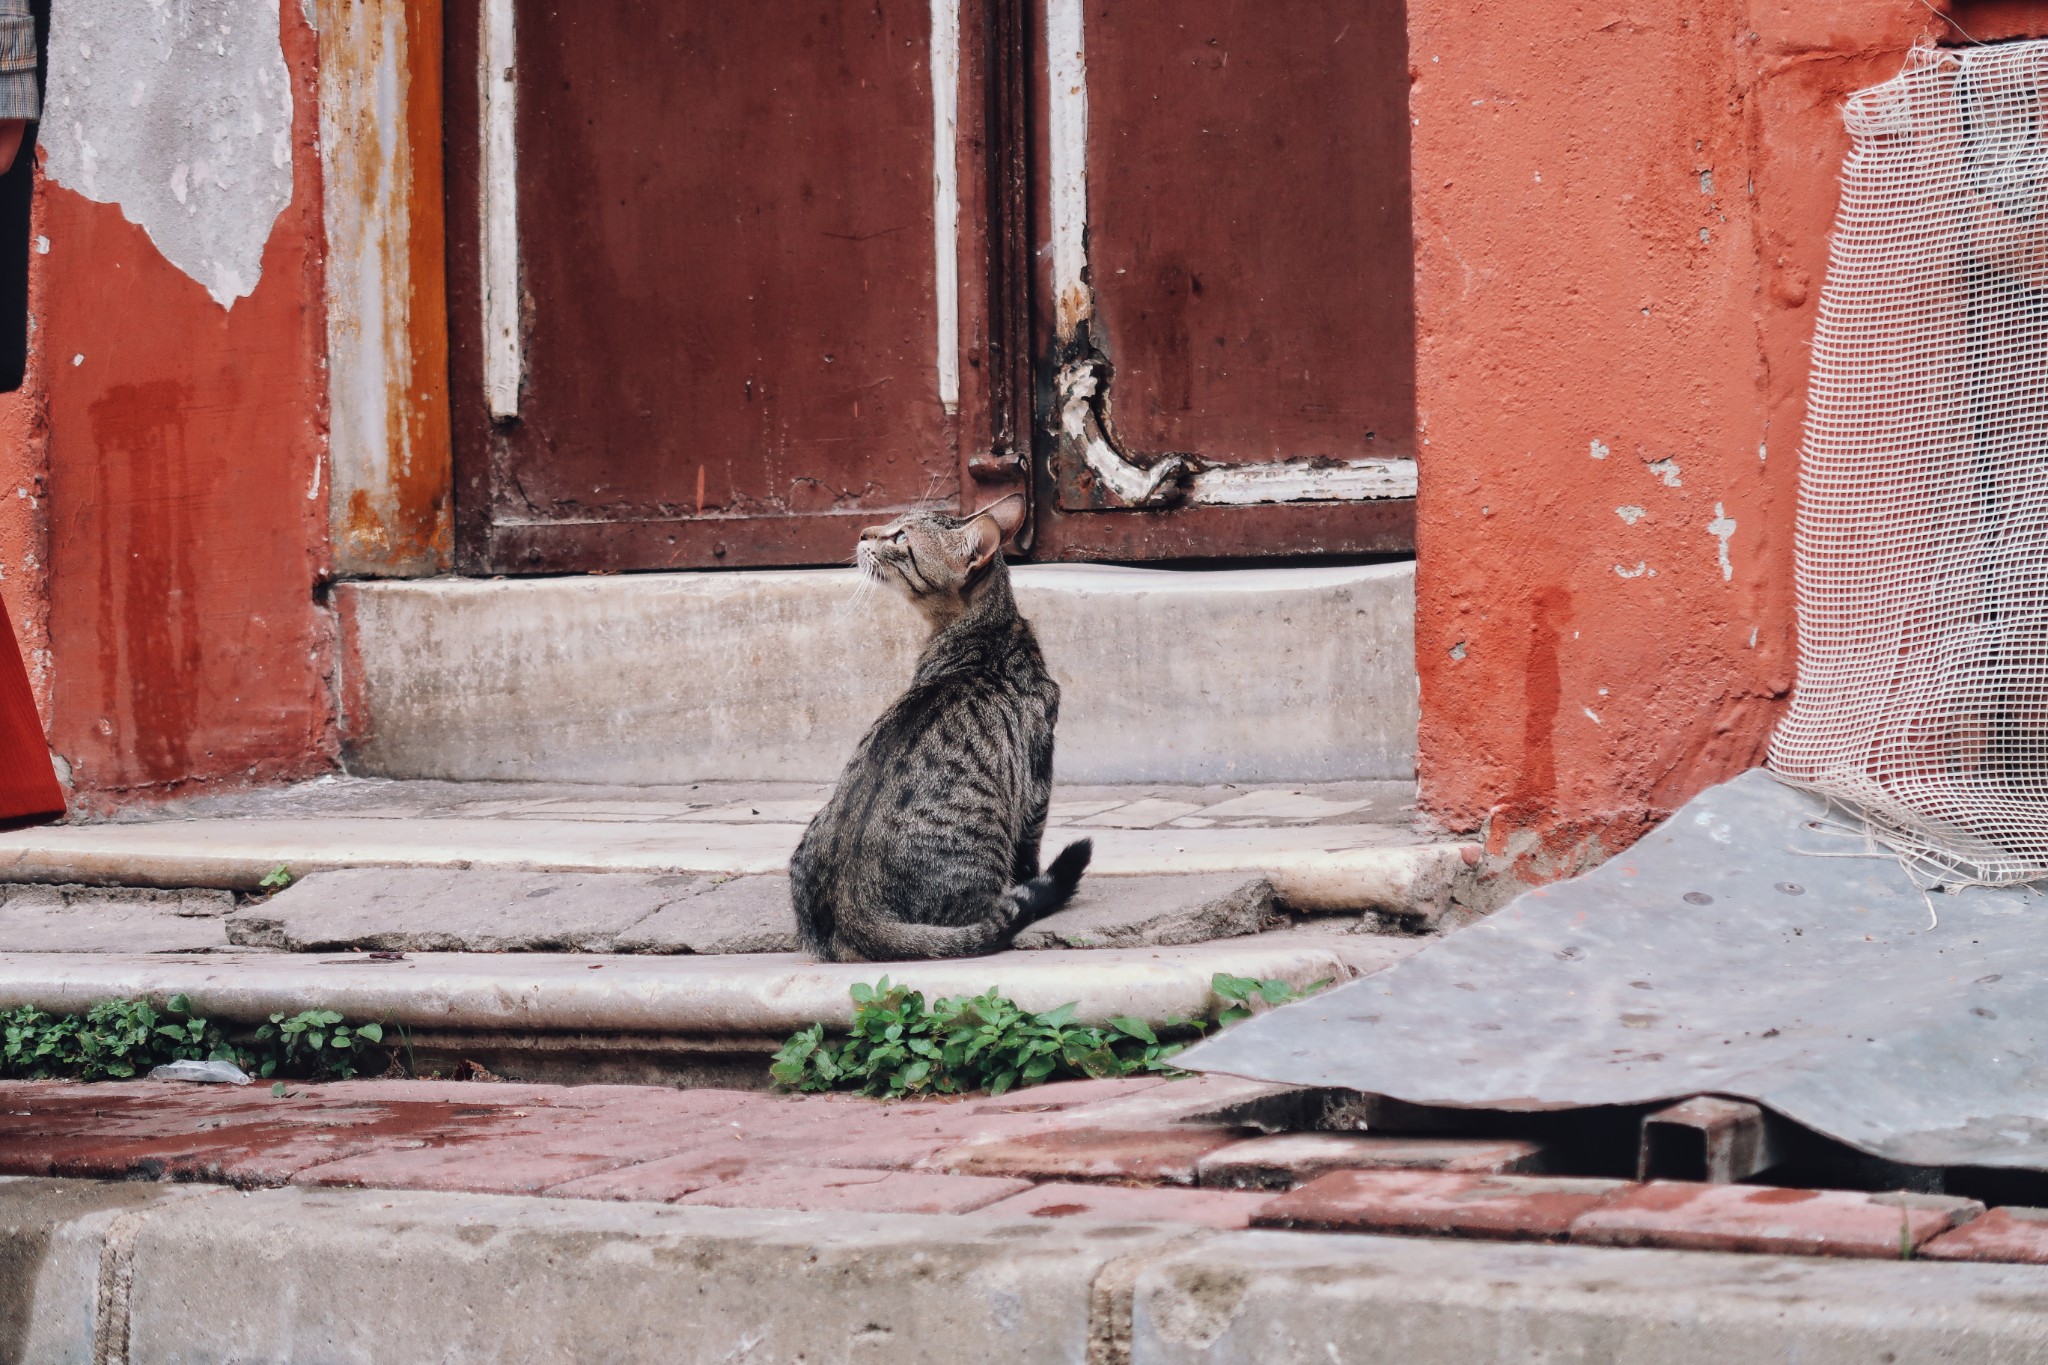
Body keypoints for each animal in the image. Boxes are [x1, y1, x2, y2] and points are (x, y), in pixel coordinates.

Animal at [790, 493, 1097, 961]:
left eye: (901, 536)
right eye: (893, 524)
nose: (863, 532)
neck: (988, 631)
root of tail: (853, 906)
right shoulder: (1038, 774)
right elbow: (1030, 851)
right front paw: (1029, 880)